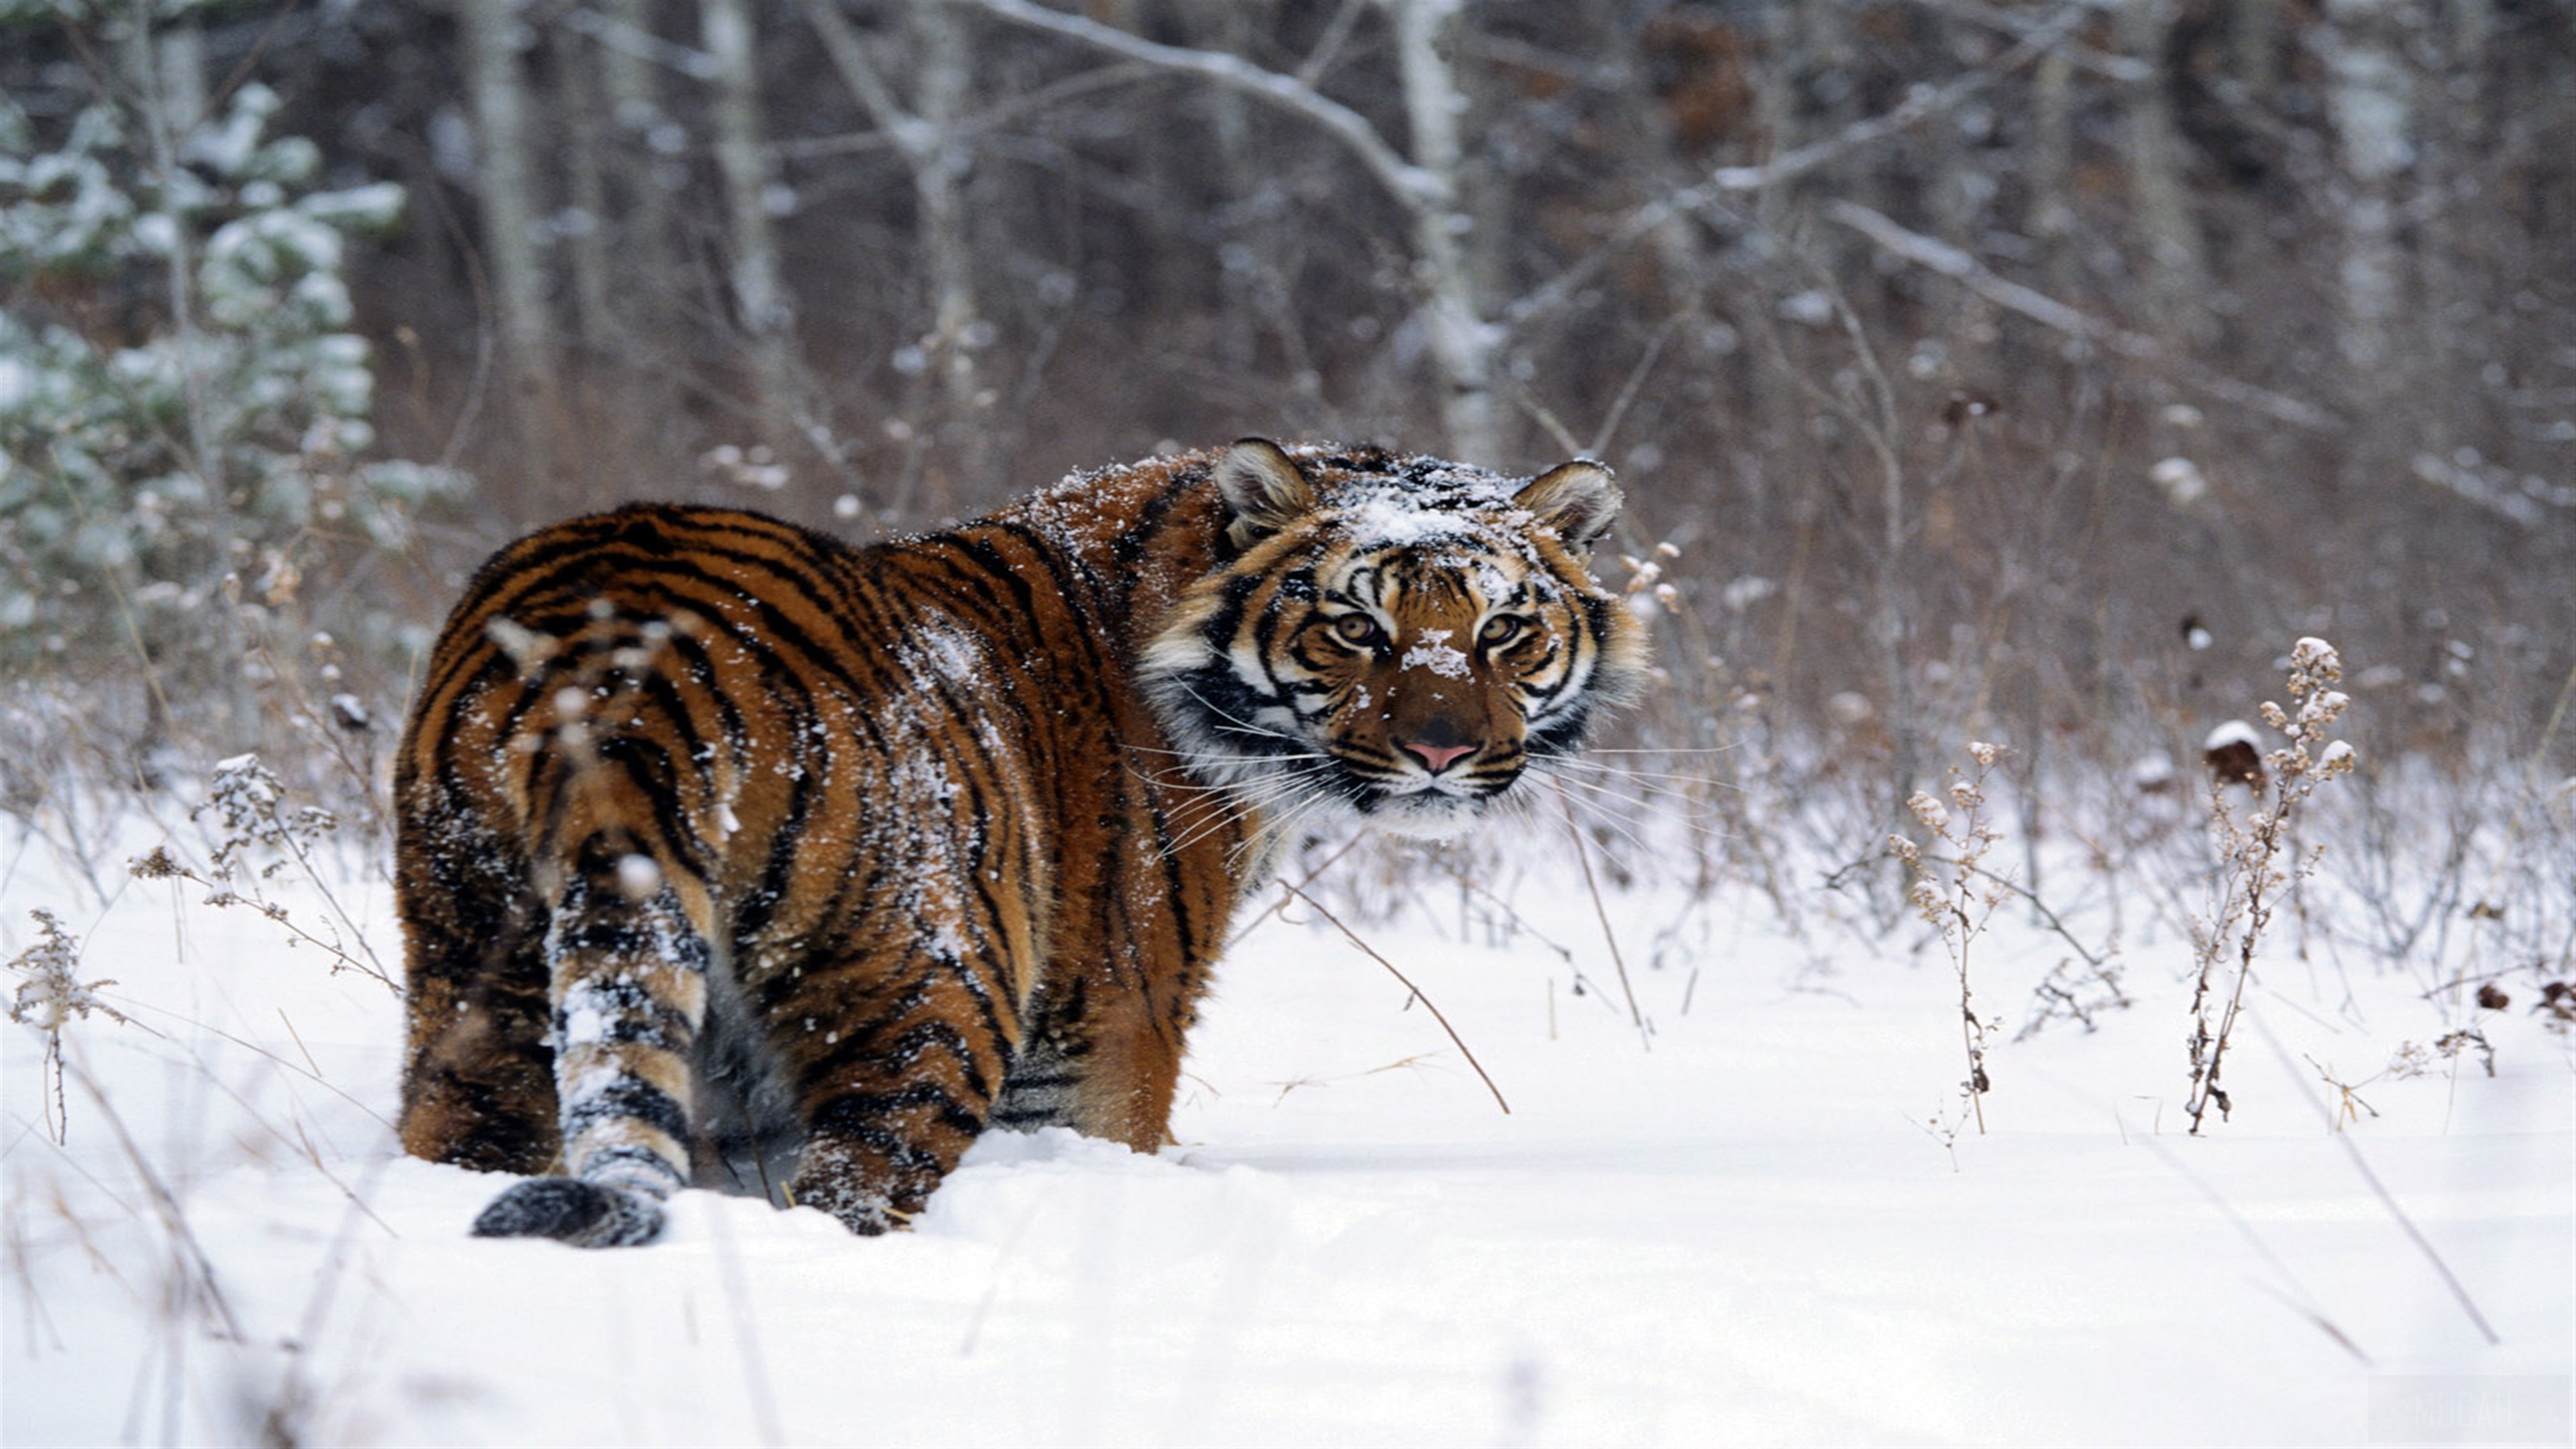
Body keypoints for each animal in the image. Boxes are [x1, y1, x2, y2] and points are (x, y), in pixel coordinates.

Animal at [394, 438, 1645, 1246]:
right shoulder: (1107, 1024)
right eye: (1355, 627)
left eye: (1505, 629)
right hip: (933, 992)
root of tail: (619, 658)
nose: (1442, 751)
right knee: (852, 1186)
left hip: (478, 966)